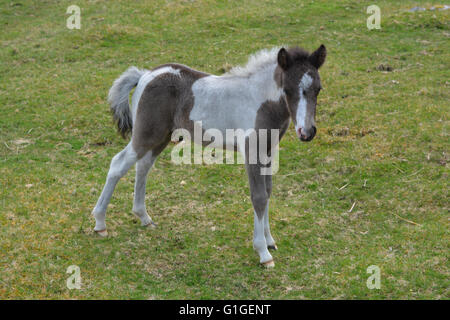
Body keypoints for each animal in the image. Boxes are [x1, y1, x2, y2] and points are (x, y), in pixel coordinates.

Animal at [93, 43, 326, 266]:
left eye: (318, 89)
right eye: (287, 89)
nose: (307, 132)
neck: (260, 102)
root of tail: (145, 75)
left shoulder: (267, 152)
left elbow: (268, 192)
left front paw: (269, 241)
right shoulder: (251, 151)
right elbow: (259, 197)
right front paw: (263, 252)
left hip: (161, 136)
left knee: (143, 167)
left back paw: (144, 218)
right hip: (146, 135)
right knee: (118, 164)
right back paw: (100, 223)